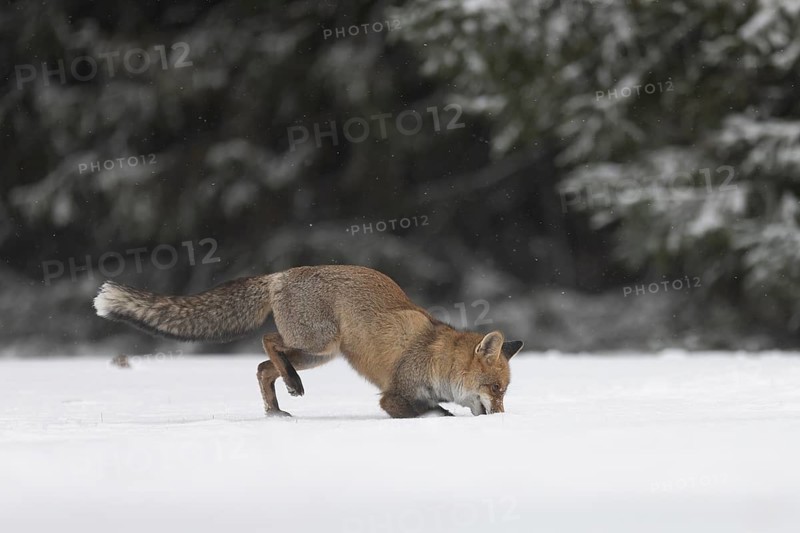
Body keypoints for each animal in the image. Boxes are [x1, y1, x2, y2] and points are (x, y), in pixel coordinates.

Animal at [93, 265, 523, 418]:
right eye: (496, 388)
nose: (501, 418)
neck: (437, 360)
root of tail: (280, 274)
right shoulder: (394, 396)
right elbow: (429, 412)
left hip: (318, 355)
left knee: (263, 367)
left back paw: (276, 408)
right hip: (321, 344)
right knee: (268, 342)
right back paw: (292, 387)